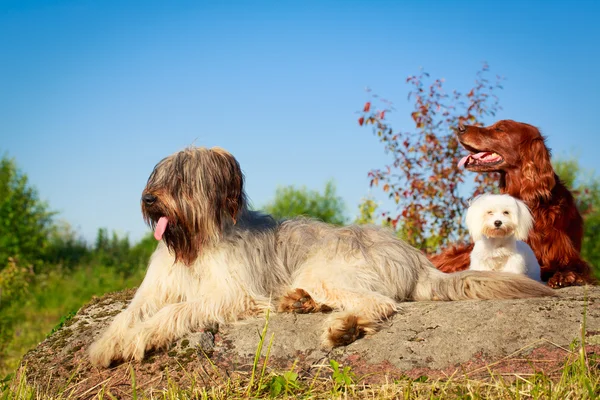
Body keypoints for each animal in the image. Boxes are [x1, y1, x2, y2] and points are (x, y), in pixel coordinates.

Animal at [88, 145, 552, 368]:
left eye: (181, 180)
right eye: (158, 175)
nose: (149, 199)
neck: (196, 245)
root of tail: (415, 256)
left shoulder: (232, 293)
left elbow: (174, 311)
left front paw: (138, 338)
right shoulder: (156, 288)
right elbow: (130, 313)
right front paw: (107, 344)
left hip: (323, 268)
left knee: (380, 304)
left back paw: (342, 328)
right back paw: (301, 304)